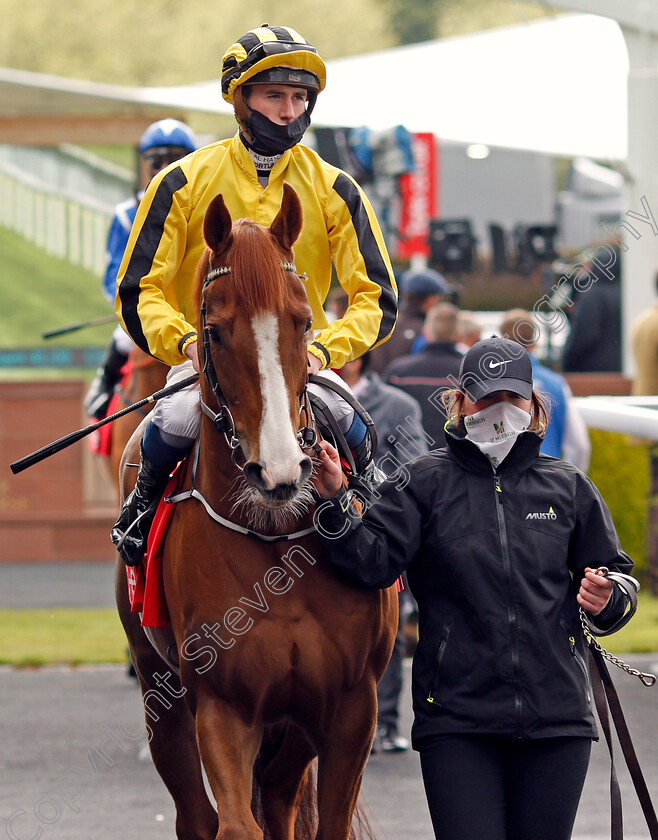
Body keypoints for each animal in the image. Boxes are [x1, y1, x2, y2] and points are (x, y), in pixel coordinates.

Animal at [114, 185, 394, 840]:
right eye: (214, 332)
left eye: (305, 321)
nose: (280, 472)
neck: (275, 539)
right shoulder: (223, 703)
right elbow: (237, 826)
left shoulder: (349, 706)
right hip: (159, 690)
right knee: (196, 813)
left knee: (283, 797)